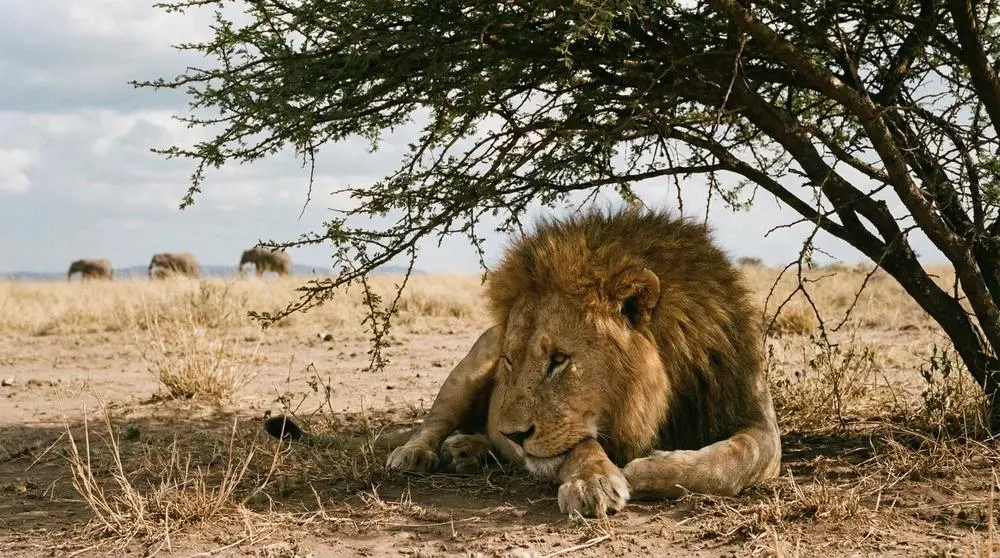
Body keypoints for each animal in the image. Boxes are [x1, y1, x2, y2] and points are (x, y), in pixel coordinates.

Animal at [271, 209, 782, 518]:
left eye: (559, 359)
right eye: (510, 362)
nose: (515, 433)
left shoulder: (755, 415)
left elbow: (734, 462)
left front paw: (648, 469)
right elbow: (579, 446)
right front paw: (596, 481)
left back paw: (469, 450)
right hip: (466, 369)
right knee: (433, 422)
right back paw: (421, 452)